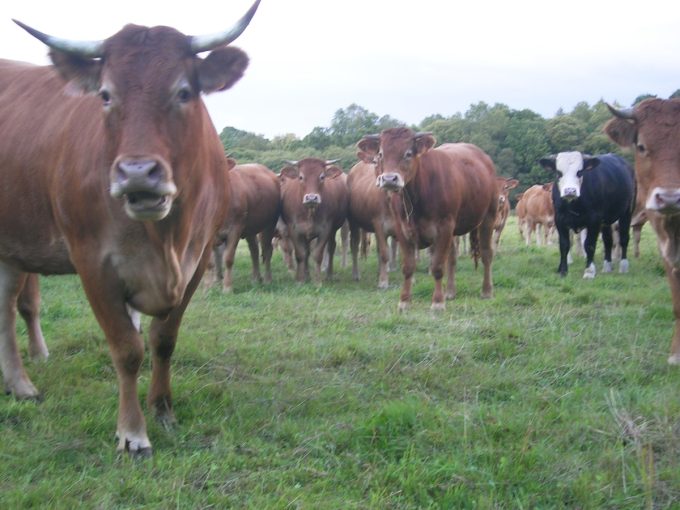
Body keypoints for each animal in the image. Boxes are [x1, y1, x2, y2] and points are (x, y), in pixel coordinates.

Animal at [0, 1, 260, 456]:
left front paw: (162, 409)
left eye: (184, 92)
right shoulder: (93, 264)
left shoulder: (196, 261)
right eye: (105, 95)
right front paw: (132, 432)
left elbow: (163, 340)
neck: (164, 238)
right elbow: (126, 349)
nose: (138, 173)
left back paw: (18, 384)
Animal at [212, 159, 281, 293]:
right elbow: (213, 260)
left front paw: (227, 287)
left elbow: (228, 258)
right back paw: (256, 278)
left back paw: (267, 279)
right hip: (250, 228)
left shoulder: (235, 228)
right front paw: (212, 284)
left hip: (269, 224)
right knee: (254, 250)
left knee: (267, 249)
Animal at [347, 158, 398, 289]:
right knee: (354, 245)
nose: (388, 179)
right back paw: (356, 274)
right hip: (354, 223)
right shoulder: (378, 223)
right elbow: (385, 253)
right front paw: (383, 282)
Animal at [357, 128, 498, 311]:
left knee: (487, 254)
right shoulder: (402, 229)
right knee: (452, 258)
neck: (415, 199)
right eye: (380, 154)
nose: (388, 179)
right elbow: (408, 267)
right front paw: (404, 301)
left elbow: (437, 266)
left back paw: (486, 290)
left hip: (488, 216)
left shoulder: (444, 226)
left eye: (408, 153)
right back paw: (450, 292)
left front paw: (437, 302)